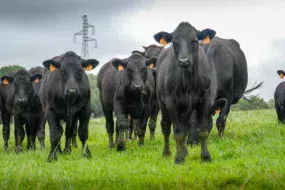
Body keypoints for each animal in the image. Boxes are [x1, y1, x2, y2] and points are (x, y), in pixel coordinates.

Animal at [153, 21, 226, 163]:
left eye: (194, 41)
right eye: (174, 42)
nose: (183, 61)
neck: (188, 82)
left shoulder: (205, 101)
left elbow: (202, 130)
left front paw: (205, 156)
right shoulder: (171, 102)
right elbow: (178, 132)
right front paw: (179, 158)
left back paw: (185, 151)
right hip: (162, 103)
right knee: (166, 126)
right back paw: (167, 152)